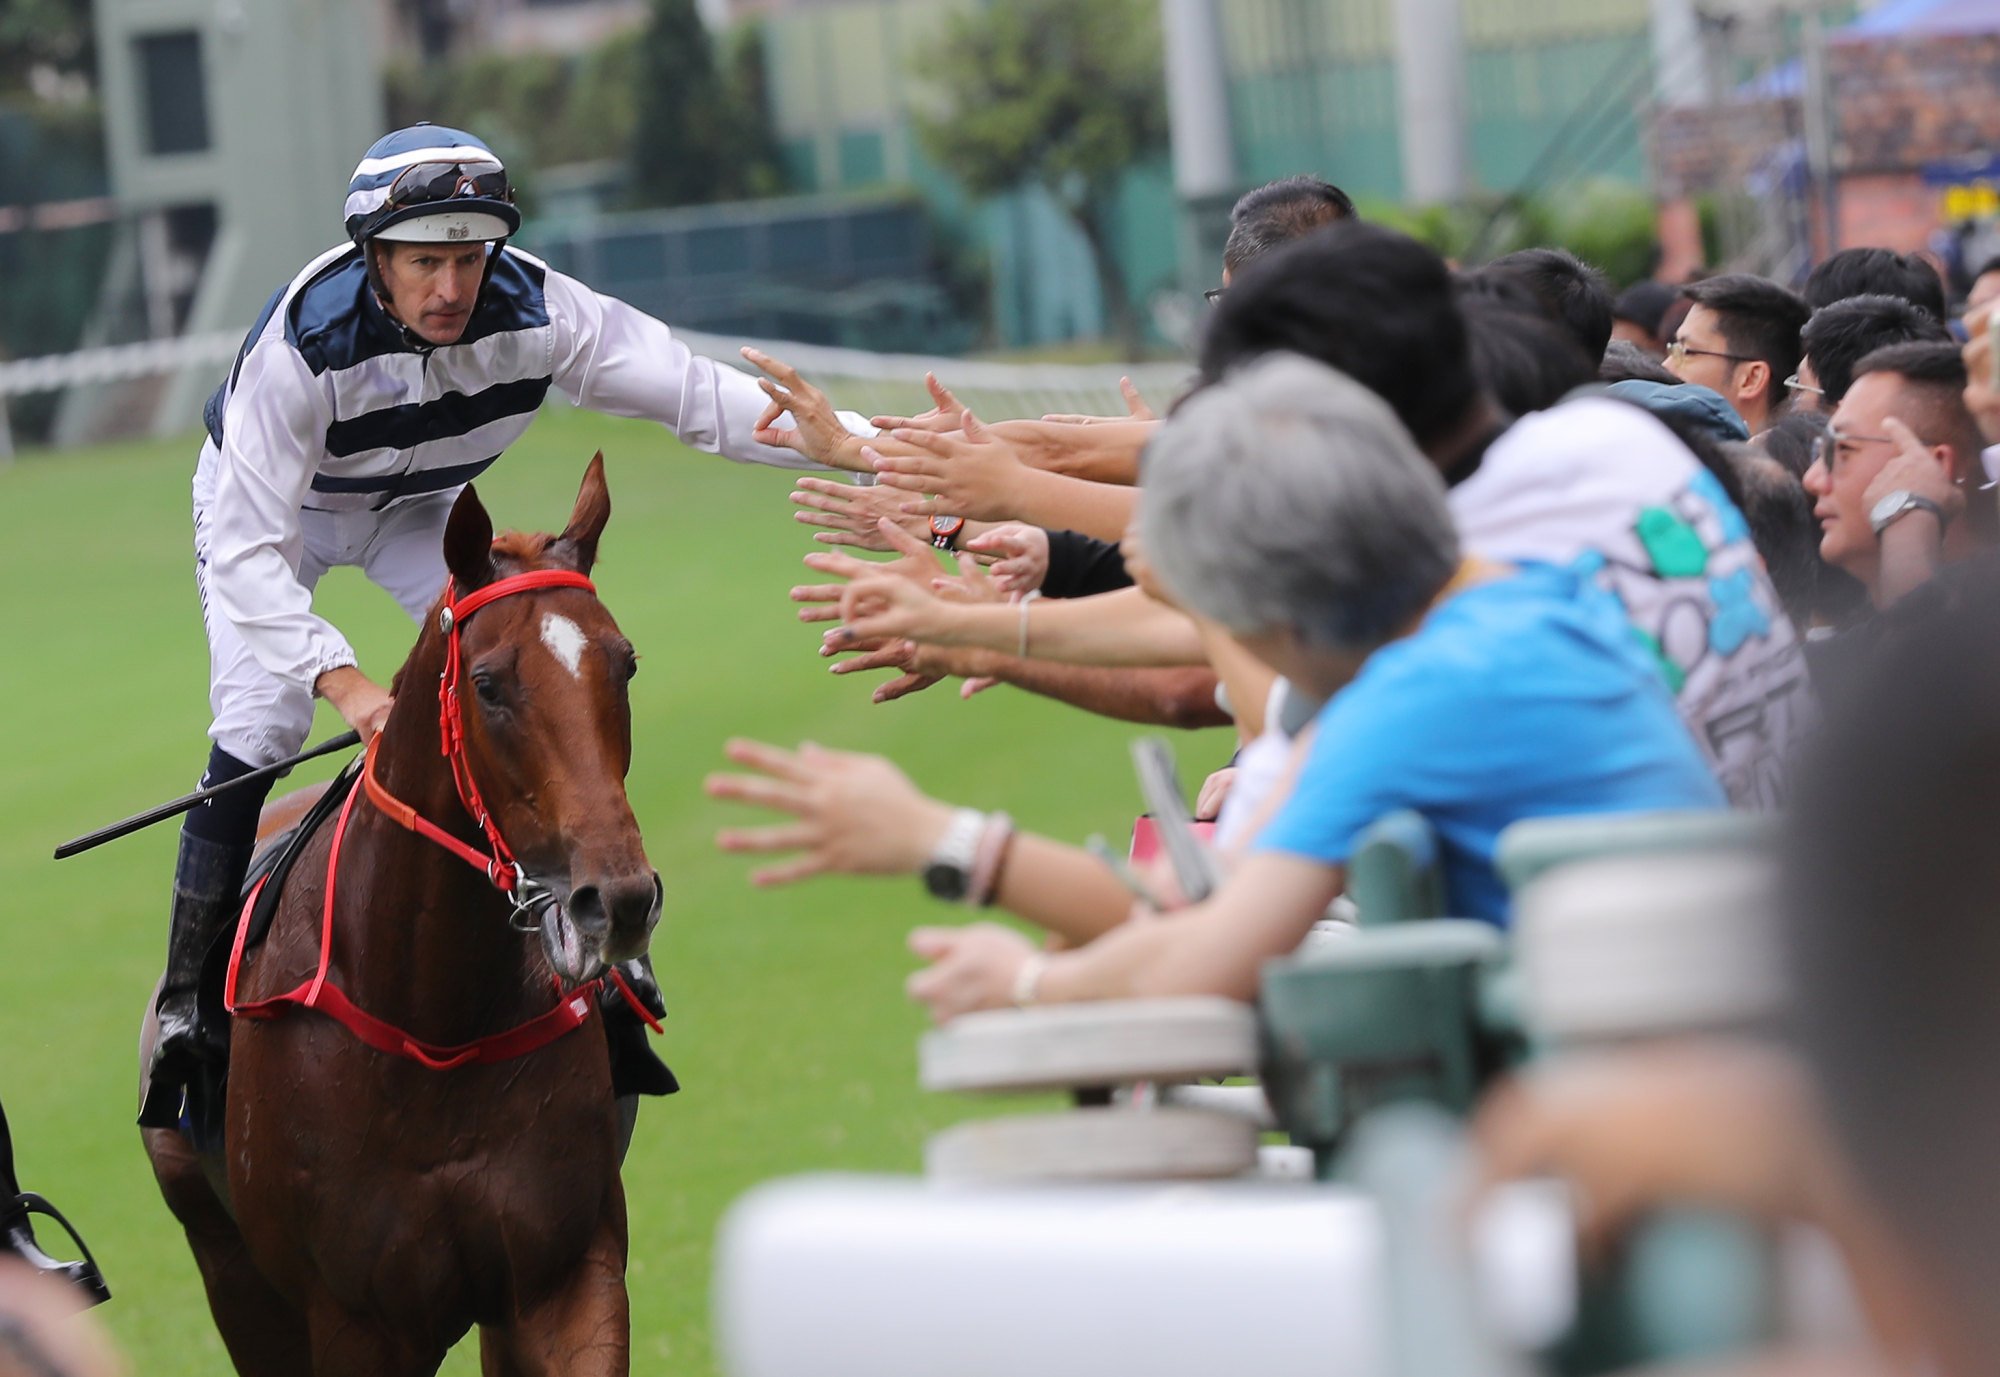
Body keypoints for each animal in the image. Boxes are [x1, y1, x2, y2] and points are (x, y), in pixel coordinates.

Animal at [145, 460, 672, 1377]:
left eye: (625, 664)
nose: (617, 900)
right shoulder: (354, 1320)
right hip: (229, 1266)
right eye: (488, 684)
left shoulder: (565, 1277)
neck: (435, 1019)